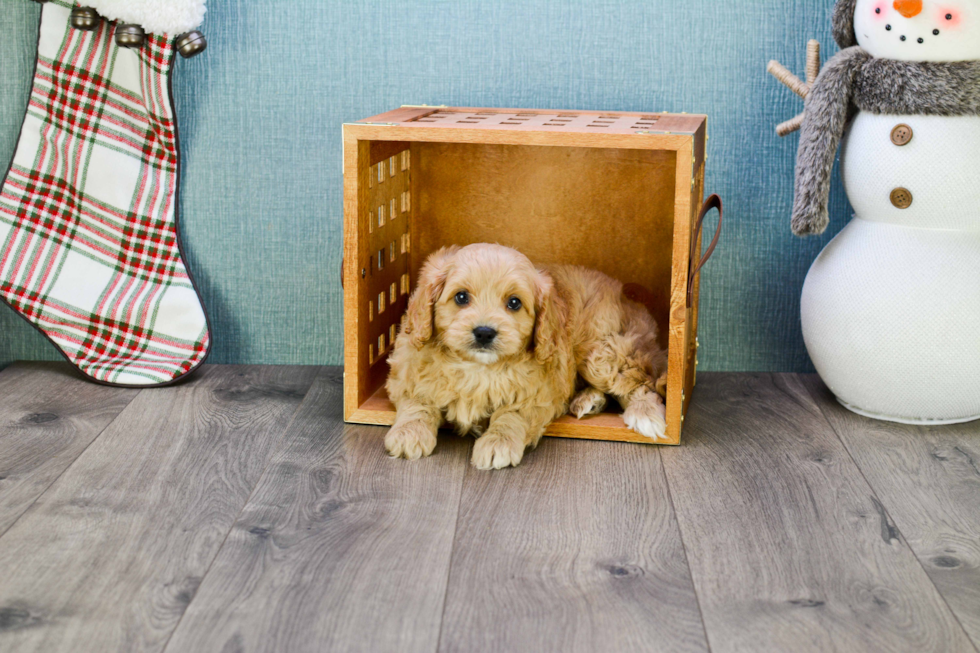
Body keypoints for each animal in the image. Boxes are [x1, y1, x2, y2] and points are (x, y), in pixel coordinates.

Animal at [386, 241, 668, 468]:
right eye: (461, 297)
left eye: (514, 303)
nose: (484, 332)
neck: (479, 367)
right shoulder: (406, 369)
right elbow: (417, 402)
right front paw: (408, 433)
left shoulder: (539, 393)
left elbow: (512, 414)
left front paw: (497, 443)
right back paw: (589, 400)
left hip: (603, 353)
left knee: (643, 382)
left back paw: (645, 414)